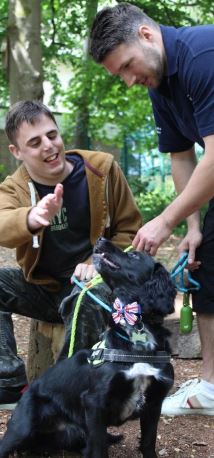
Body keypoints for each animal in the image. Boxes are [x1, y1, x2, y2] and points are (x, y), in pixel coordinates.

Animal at [0, 238, 176, 456]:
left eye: (135, 255)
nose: (101, 239)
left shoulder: (154, 403)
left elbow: (148, 443)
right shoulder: (94, 404)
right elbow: (99, 449)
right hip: (22, 428)